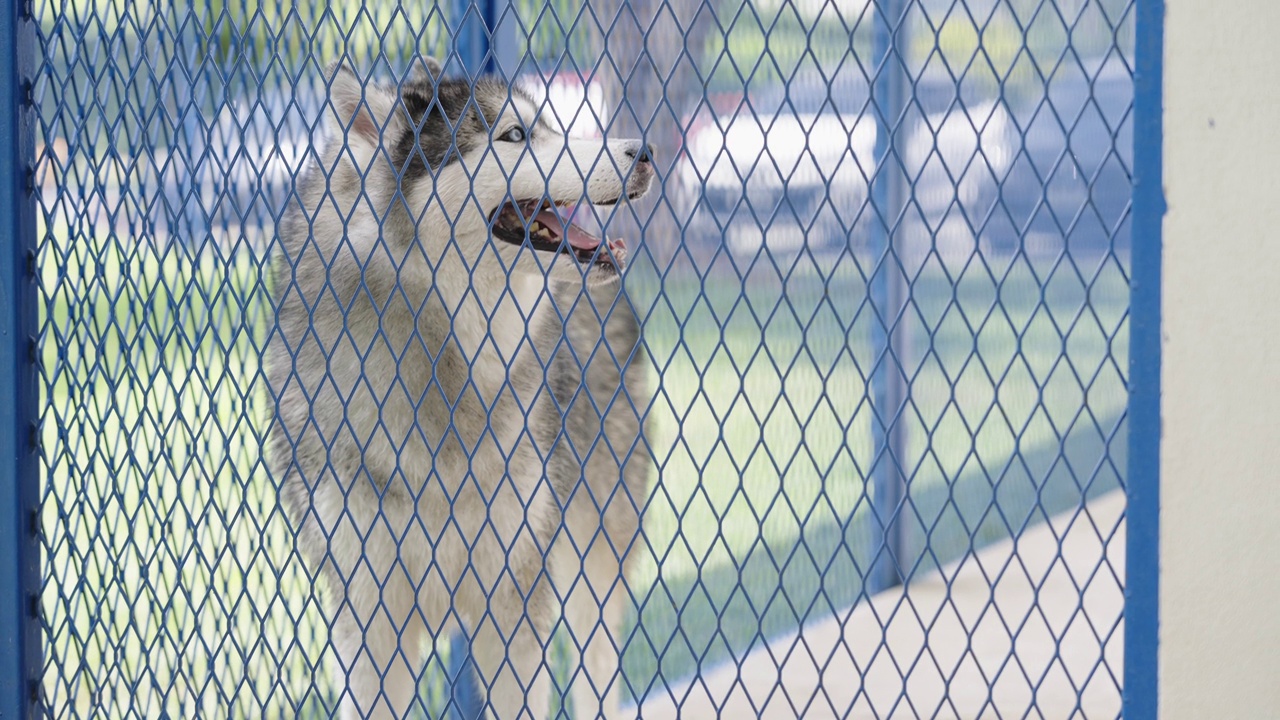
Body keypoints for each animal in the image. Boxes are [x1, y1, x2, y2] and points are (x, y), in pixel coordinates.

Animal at [266, 57, 655, 717]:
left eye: (550, 125)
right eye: (516, 135)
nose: (645, 150)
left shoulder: (514, 607)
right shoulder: (370, 625)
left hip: (594, 572)